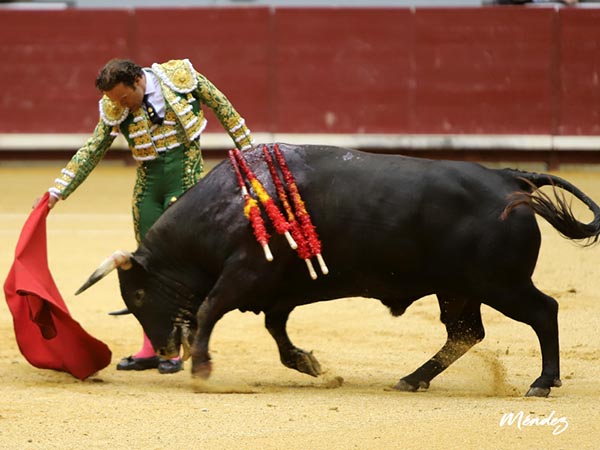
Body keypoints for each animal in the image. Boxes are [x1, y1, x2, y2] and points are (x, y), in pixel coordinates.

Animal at [77, 142, 600, 396]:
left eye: (138, 296)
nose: (166, 350)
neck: (229, 205)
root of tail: (509, 177)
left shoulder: (244, 275)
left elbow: (209, 311)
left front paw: (203, 368)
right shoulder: (277, 291)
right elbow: (276, 331)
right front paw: (310, 364)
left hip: (501, 284)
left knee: (544, 311)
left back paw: (542, 383)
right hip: (458, 289)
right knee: (466, 333)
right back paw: (412, 379)